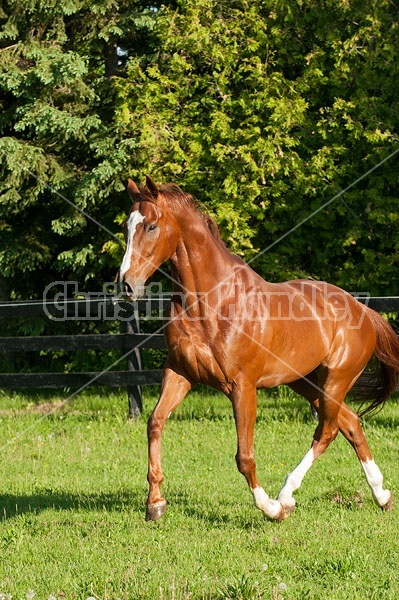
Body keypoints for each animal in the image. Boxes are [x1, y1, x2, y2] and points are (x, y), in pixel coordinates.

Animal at [119, 175, 399, 520]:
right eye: (126, 226)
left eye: (151, 226)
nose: (126, 284)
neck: (210, 303)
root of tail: (363, 310)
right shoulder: (179, 373)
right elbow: (155, 423)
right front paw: (155, 503)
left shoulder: (242, 386)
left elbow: (244, 456)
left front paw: (270, 508)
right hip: (307, 383)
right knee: (351, 424)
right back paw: (381, 495)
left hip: (336, 381)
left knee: (327, 432)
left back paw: (286, 496)